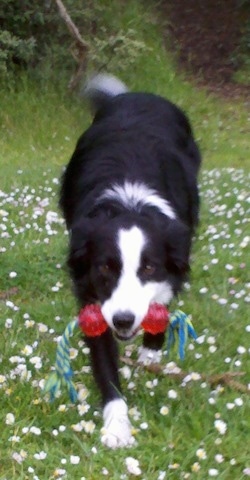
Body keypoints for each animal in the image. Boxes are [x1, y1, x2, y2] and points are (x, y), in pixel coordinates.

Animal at [59, 73, 201, 448]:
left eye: (149, 267)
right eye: (105, 268)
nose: (123, 320)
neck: (130, 203)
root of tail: (137, 94)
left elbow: (162, 300)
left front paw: (152, 348)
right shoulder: (92, 296)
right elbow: (105, 363)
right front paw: (117, 426)